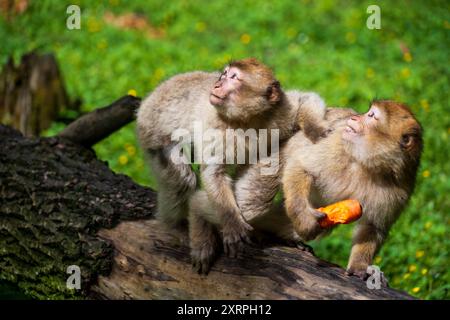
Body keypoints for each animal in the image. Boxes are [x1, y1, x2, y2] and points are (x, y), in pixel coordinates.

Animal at [136, 57, 326, 262]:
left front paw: (315, 128)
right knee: (182, 180)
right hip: (151, 134)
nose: (217, 84)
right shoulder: (215, 128)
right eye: (224, 75)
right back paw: (177, 225)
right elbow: (214, 173)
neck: (246, 120)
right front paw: (231, 222)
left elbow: (305, 99)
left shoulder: (280, 111)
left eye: (233, 78)